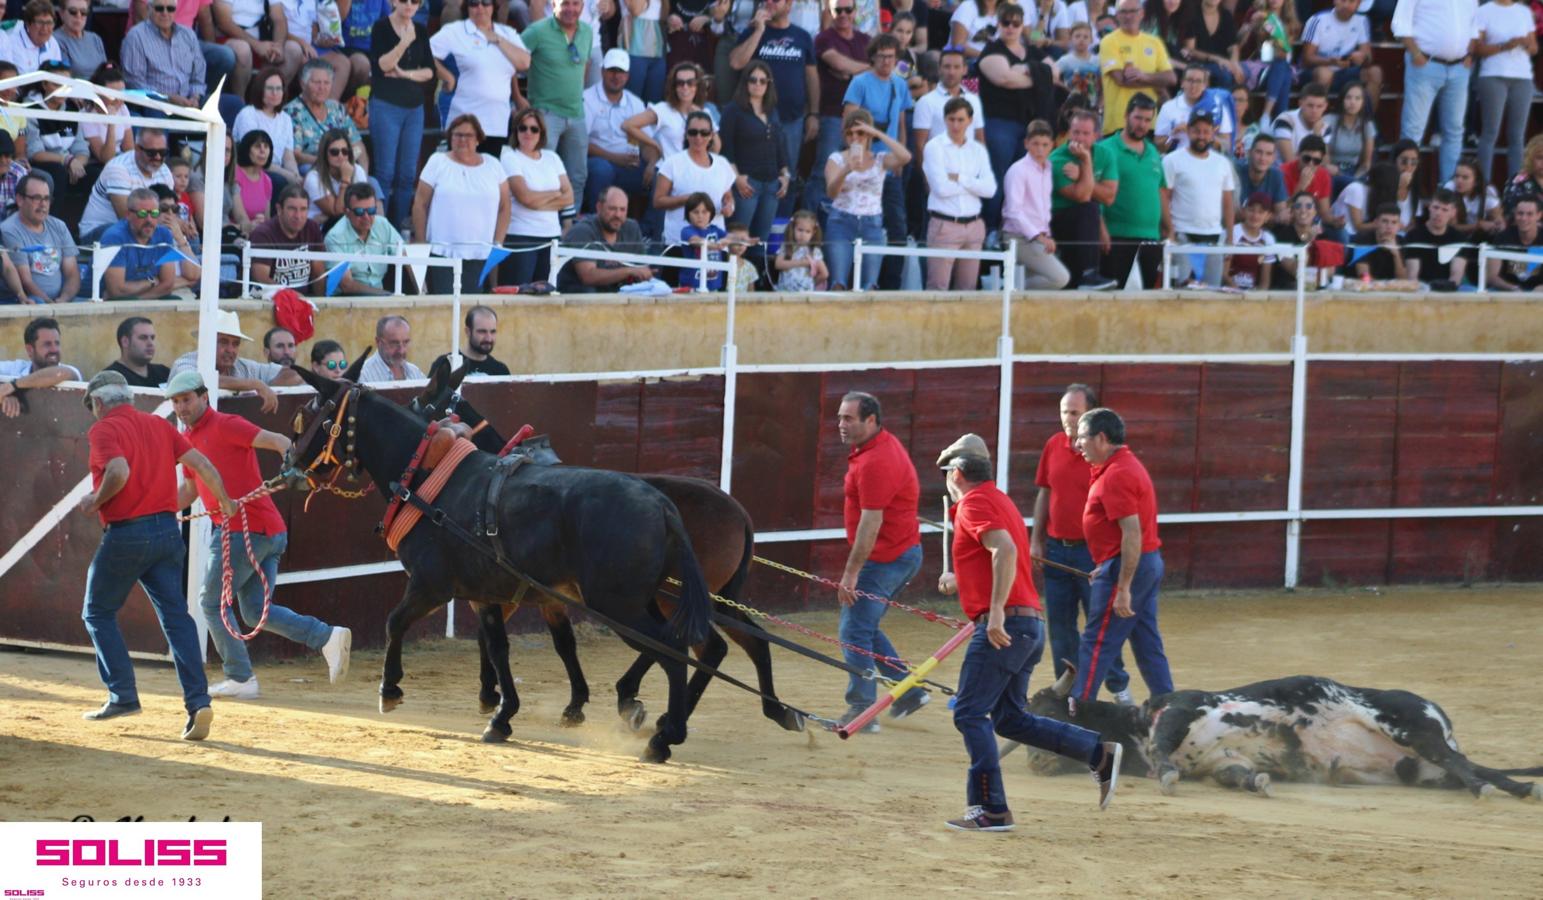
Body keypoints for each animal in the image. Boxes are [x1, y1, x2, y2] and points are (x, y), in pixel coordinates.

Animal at [285, 362, 715, 765]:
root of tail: (660, 504)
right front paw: (502, 715)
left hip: (617, 606)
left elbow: (395, 622)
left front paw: (389, 690)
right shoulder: (485, 595)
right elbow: (497, 647)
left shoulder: (430, 586)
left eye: (306, 415)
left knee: (672, 650)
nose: (291, 462)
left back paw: (663, 737)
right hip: (641, 602)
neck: (429, 479)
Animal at [410, 359, 808, 740]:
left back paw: (643, 704)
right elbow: (561, 643)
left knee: (698, 646)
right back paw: (773, 712)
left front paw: (493, 696)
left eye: (422, 402)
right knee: (744, 644)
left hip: (670, 599)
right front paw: (568, 704)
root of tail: (739, 512)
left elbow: (508, 637)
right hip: (716, 599)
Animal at [1012, 660, 1543, 802]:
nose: (1034, 762)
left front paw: (1164, 776)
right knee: (1468, 766)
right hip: (1417, 769)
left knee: (1459, 760)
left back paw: (1490, 789)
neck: (1136, 725)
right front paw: (1262, 782)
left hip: (1407, 726)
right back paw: (1518, 788)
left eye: (1048, 711)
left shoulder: (1183, 709)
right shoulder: (1223, 762)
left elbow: (1164, 752)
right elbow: (1238, 775)